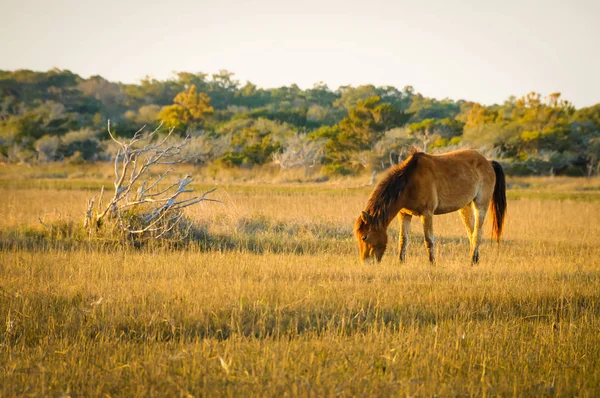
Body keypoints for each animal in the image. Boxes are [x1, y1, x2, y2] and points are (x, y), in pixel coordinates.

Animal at [356, 149, 506, 264]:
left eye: (364, 237)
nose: (365, 262)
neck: (409, 182)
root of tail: (488, 162)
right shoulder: (404, 214)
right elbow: (403, 240)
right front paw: (400, 262)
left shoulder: (426, 214)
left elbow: (428, 240)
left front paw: (432, 263)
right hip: (465, 207)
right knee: (471, 232)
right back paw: (475, 259)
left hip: (481, 205)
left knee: (477, 234)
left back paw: (472, 261)